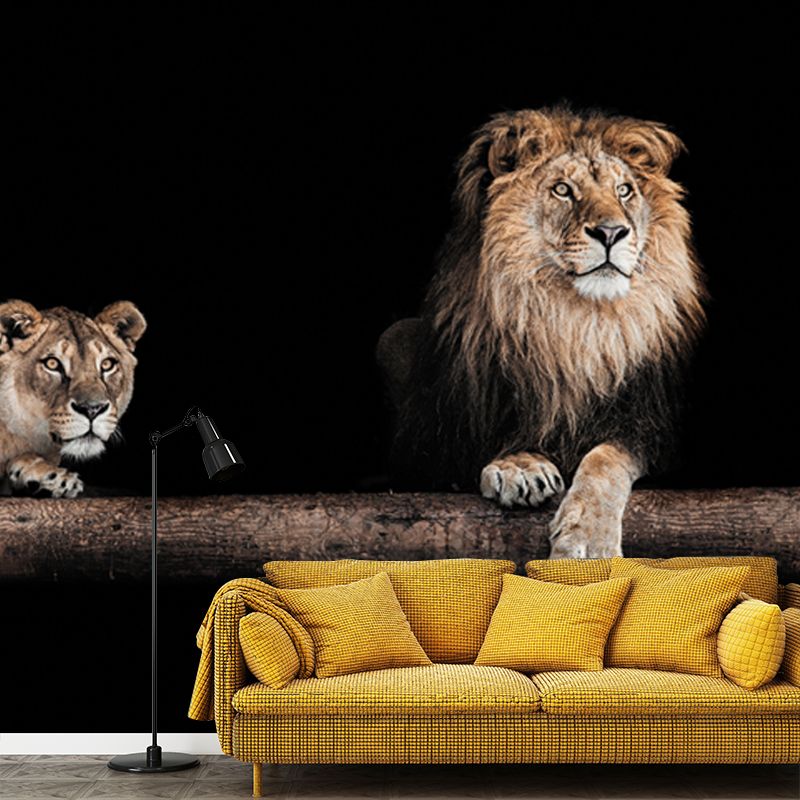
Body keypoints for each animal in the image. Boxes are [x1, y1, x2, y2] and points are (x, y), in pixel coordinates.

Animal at [376, 102, 708, 559]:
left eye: (624, 190)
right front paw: (520, 465)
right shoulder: (431, 442)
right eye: (563, 190)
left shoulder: (652, 426)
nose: (611, 232)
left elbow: (607, 455)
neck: (571, 323)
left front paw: (588, 538)